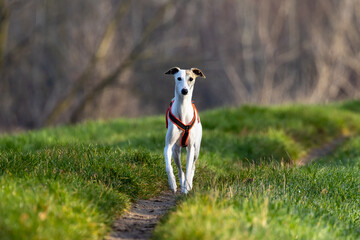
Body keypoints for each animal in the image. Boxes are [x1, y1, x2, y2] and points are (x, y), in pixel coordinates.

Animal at [164, 66, 205, 194]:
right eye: (179, 78)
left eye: (191, 78)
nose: (184, 91)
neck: (182, 108)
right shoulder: (168, 146)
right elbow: (168, 167)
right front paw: (172, 183)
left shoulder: (191, 148)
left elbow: (188, 169)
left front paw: (186, 187)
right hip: (176, 152)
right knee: (180, 170)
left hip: (196, 150)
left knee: (192, 167)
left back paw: (188, 185)